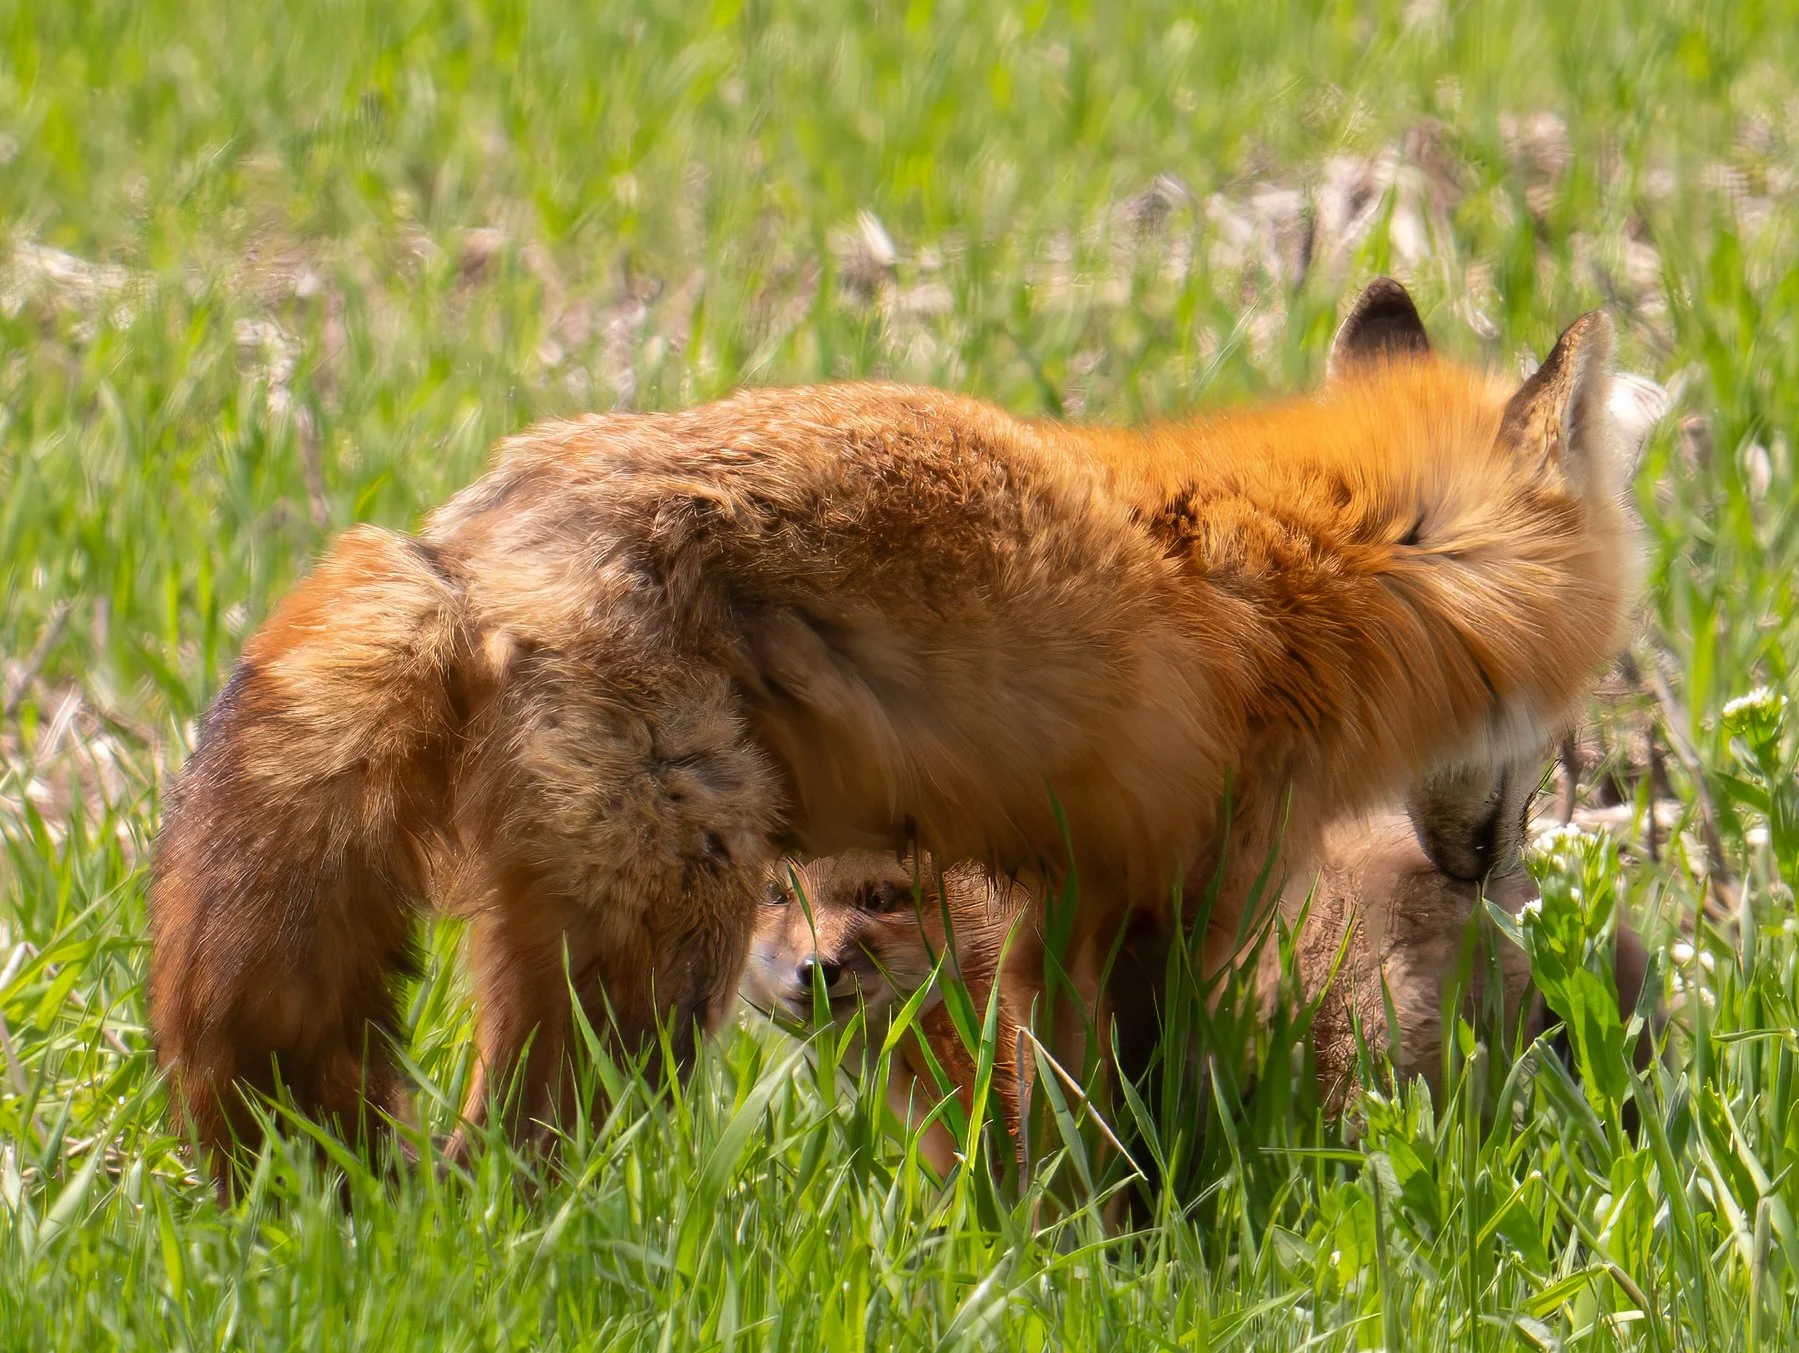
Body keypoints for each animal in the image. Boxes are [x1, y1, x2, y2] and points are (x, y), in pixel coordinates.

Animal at [148, 277, 1643, 1180]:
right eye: (1570, 696)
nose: (1483, 861)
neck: (1308, 573)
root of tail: (460, 546)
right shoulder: (1158, 899)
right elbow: (1121, 1130)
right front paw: (1131, 1260)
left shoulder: (1057, 908)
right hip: (663, 961)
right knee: (521, 1175)